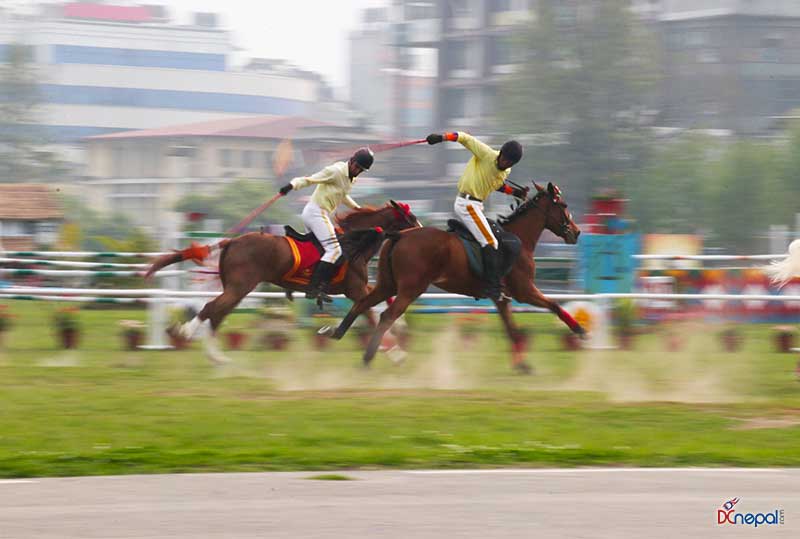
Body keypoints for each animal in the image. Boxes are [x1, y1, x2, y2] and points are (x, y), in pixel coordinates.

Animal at [145, 201, 418, 362]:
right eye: (410, 218)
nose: (421, 231)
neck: (354, 243)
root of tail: (231, 241)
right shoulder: (356, 289)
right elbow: (371, 314)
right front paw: (395, 352)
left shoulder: (361, 288)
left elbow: (385, 304)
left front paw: (399, 330)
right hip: (240, 287)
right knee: (211, 309)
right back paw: (188, 334)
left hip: (238, 289)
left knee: (217, 313)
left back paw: (216, 356)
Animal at [328, 184, 584, 374]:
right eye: (563, 205)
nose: (576, 231)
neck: (518, 237)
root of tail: (399, 235)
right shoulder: (524, 291)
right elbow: (553, 305)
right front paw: (579, 329)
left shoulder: (502, 298)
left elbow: (512, 329)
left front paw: (523, 365)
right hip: (411, 289)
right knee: (387, 316)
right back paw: (369, 356)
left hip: (386, 285)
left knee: (363, 304)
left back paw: (340, 335)